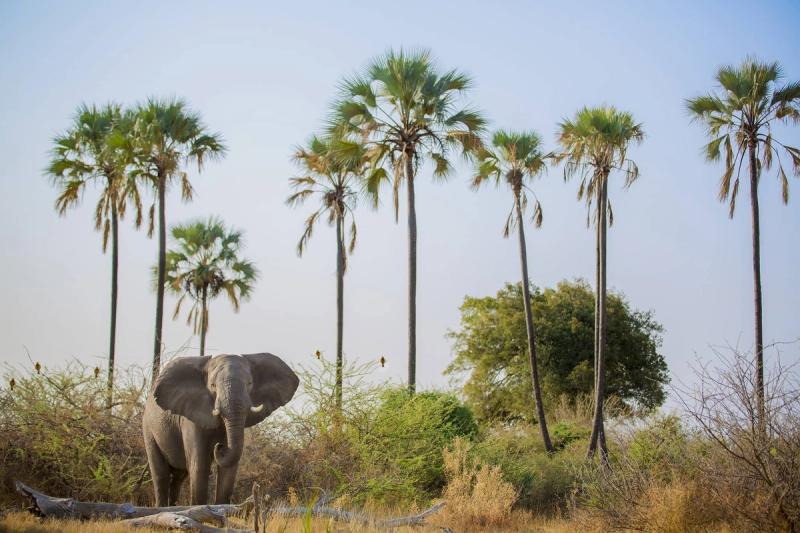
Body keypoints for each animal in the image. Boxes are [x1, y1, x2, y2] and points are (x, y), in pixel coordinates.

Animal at [142, 353, 299, 506]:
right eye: (213, 385)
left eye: (249, 383)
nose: (220, 446)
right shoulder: (191, 419)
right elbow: (199, 466)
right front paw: (200, 508)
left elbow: (229, 470)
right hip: (148, 429)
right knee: (161, 475)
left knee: (179, 477)